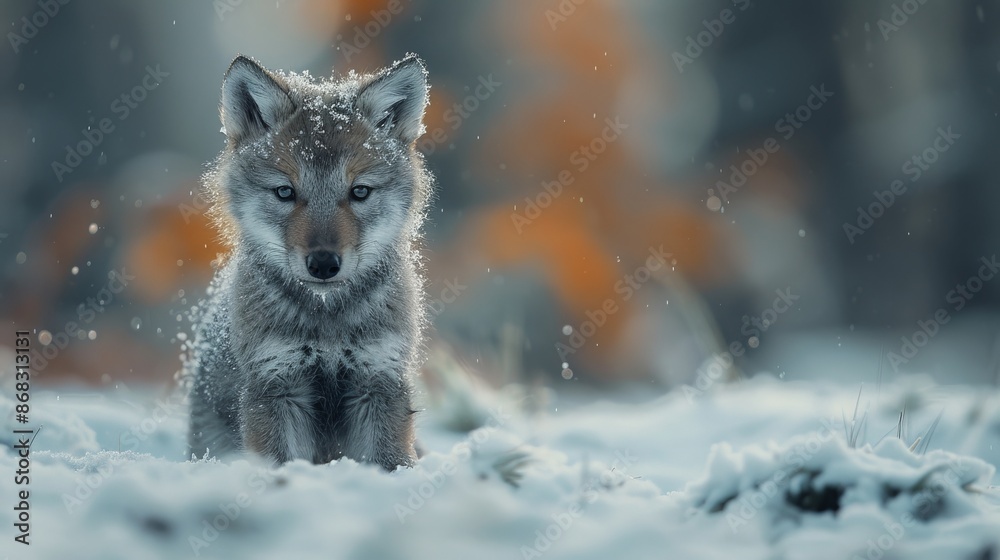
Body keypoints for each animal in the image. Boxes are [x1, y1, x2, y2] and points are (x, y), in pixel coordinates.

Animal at [185, 54, 433, 470]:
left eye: (359, 192)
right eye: (285, 192)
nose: (323, 264)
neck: (327, 322)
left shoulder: (378, 379)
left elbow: (389, 460)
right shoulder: (277, 383)